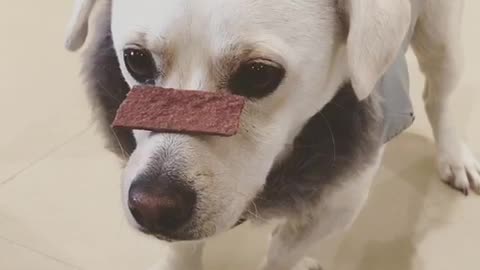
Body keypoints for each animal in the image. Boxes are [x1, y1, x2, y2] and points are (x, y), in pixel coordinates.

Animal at [64, 0, 476, 270]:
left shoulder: (336, 207)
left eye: (259, 75)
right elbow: (182, 254)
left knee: (437, 96)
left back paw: (454, 158)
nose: (153, 206)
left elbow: (282, 255)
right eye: (135, 60)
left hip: (441, 36)